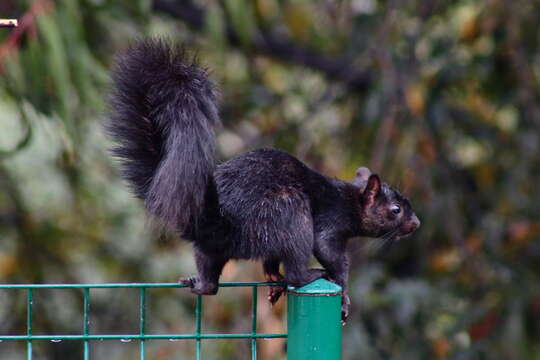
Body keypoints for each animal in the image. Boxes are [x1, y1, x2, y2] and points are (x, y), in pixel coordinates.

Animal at [107, 39, 422, 320]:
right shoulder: (330, 224)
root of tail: (220, 221)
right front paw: (344, 294)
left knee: (212, 281)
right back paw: (309, 274)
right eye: (395, 210)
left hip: (208, 247)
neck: (349, 200)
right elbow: (332, 256)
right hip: (289, 213)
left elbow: (272, 261)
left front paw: (275, 280)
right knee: (295, 270)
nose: (416, 224)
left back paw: (201, 284)